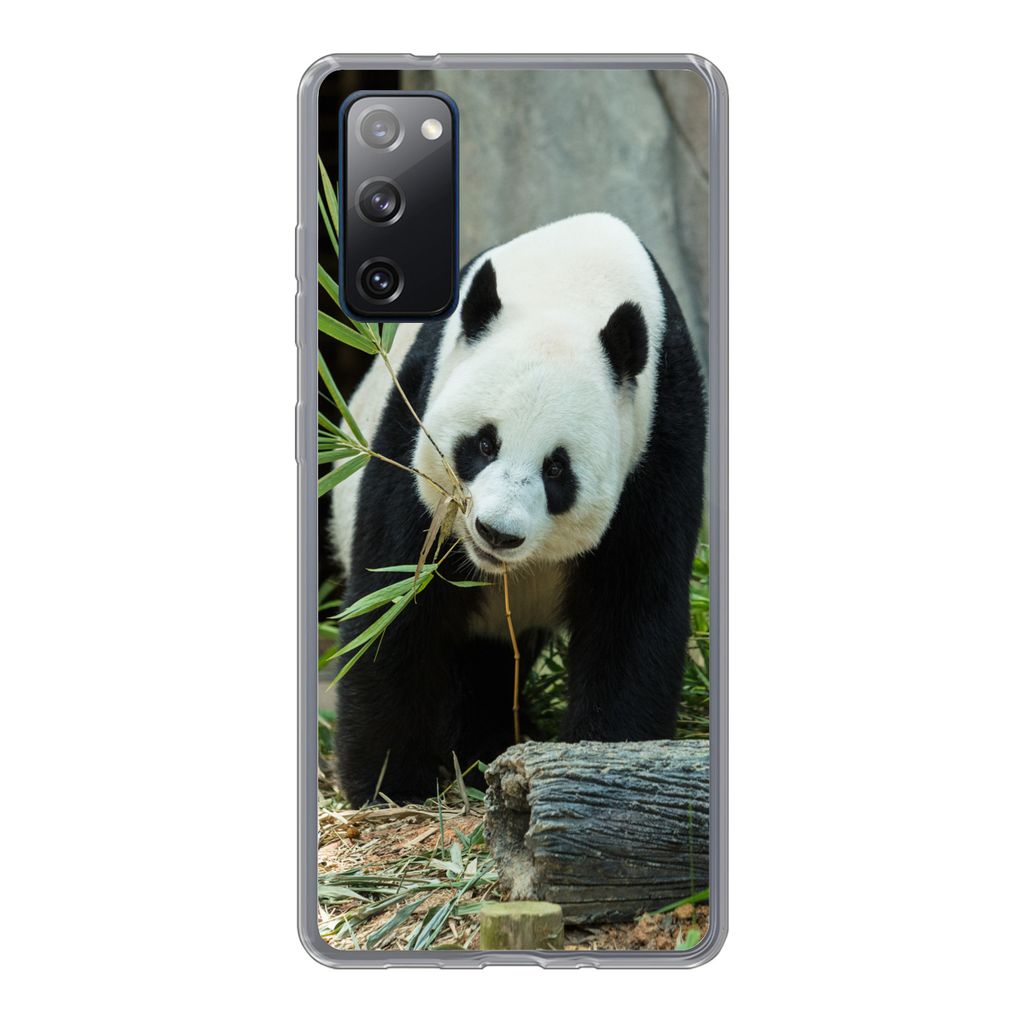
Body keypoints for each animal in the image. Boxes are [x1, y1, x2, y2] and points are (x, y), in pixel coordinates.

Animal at [330, 213, 706, 806]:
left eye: (557, 469)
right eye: (484, 443)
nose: (496, 533)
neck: (571, 284)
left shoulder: (660, 440)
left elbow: (632, 611)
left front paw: (604, 760)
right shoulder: (416, 415)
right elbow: (396, 601)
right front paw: (390, 784)